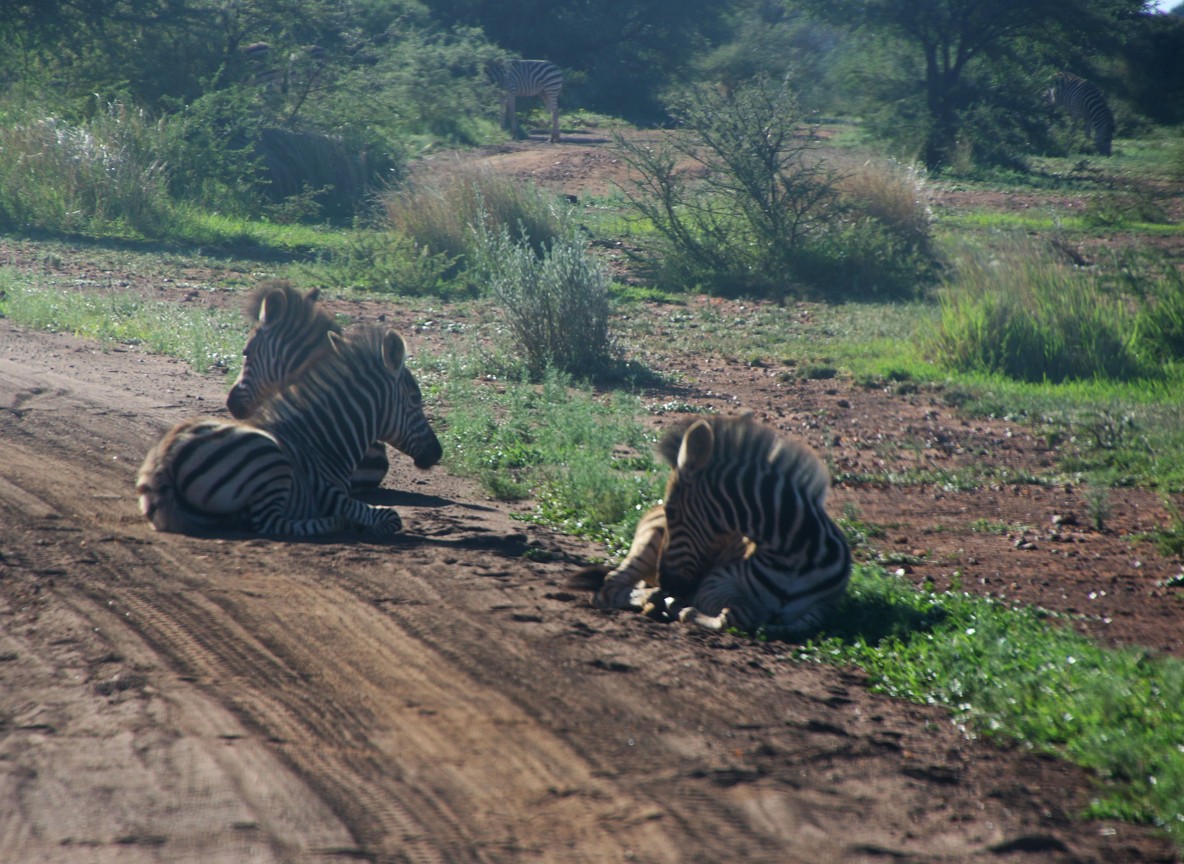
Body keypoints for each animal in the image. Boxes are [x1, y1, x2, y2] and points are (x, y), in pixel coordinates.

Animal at [137, 326, 443, 537]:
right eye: (416, 400)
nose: (437, 452)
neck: (324, 443)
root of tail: (164, 458)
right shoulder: (330, 495)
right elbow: (390, 517)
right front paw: (359, 524)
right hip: (270, 461)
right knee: (269, 523)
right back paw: (335, 524)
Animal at [580, 415, 851, 637]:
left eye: (673, 511)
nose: (667, 582)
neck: (794, 555)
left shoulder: (823, 607)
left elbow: (799, 624)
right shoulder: (716, 582)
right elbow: (739, 614)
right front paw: (683, 609)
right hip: (647, 546)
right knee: (610, 586)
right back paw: (655, 599)